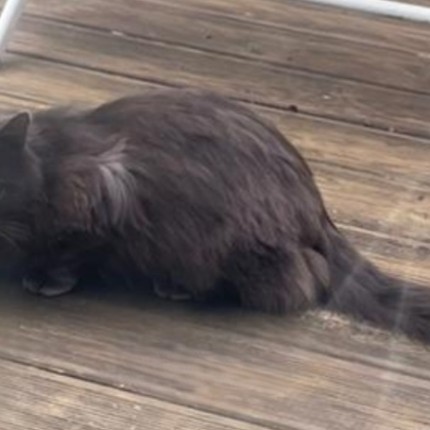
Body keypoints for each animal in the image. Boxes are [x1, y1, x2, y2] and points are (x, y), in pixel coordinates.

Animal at [0, 88, 429, 342]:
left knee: (301, 281)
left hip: (230, 243)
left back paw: (177, 286)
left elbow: (69, 248)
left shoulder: (101, 192)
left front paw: (46, 277)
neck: (47, 162)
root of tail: (317, 211)